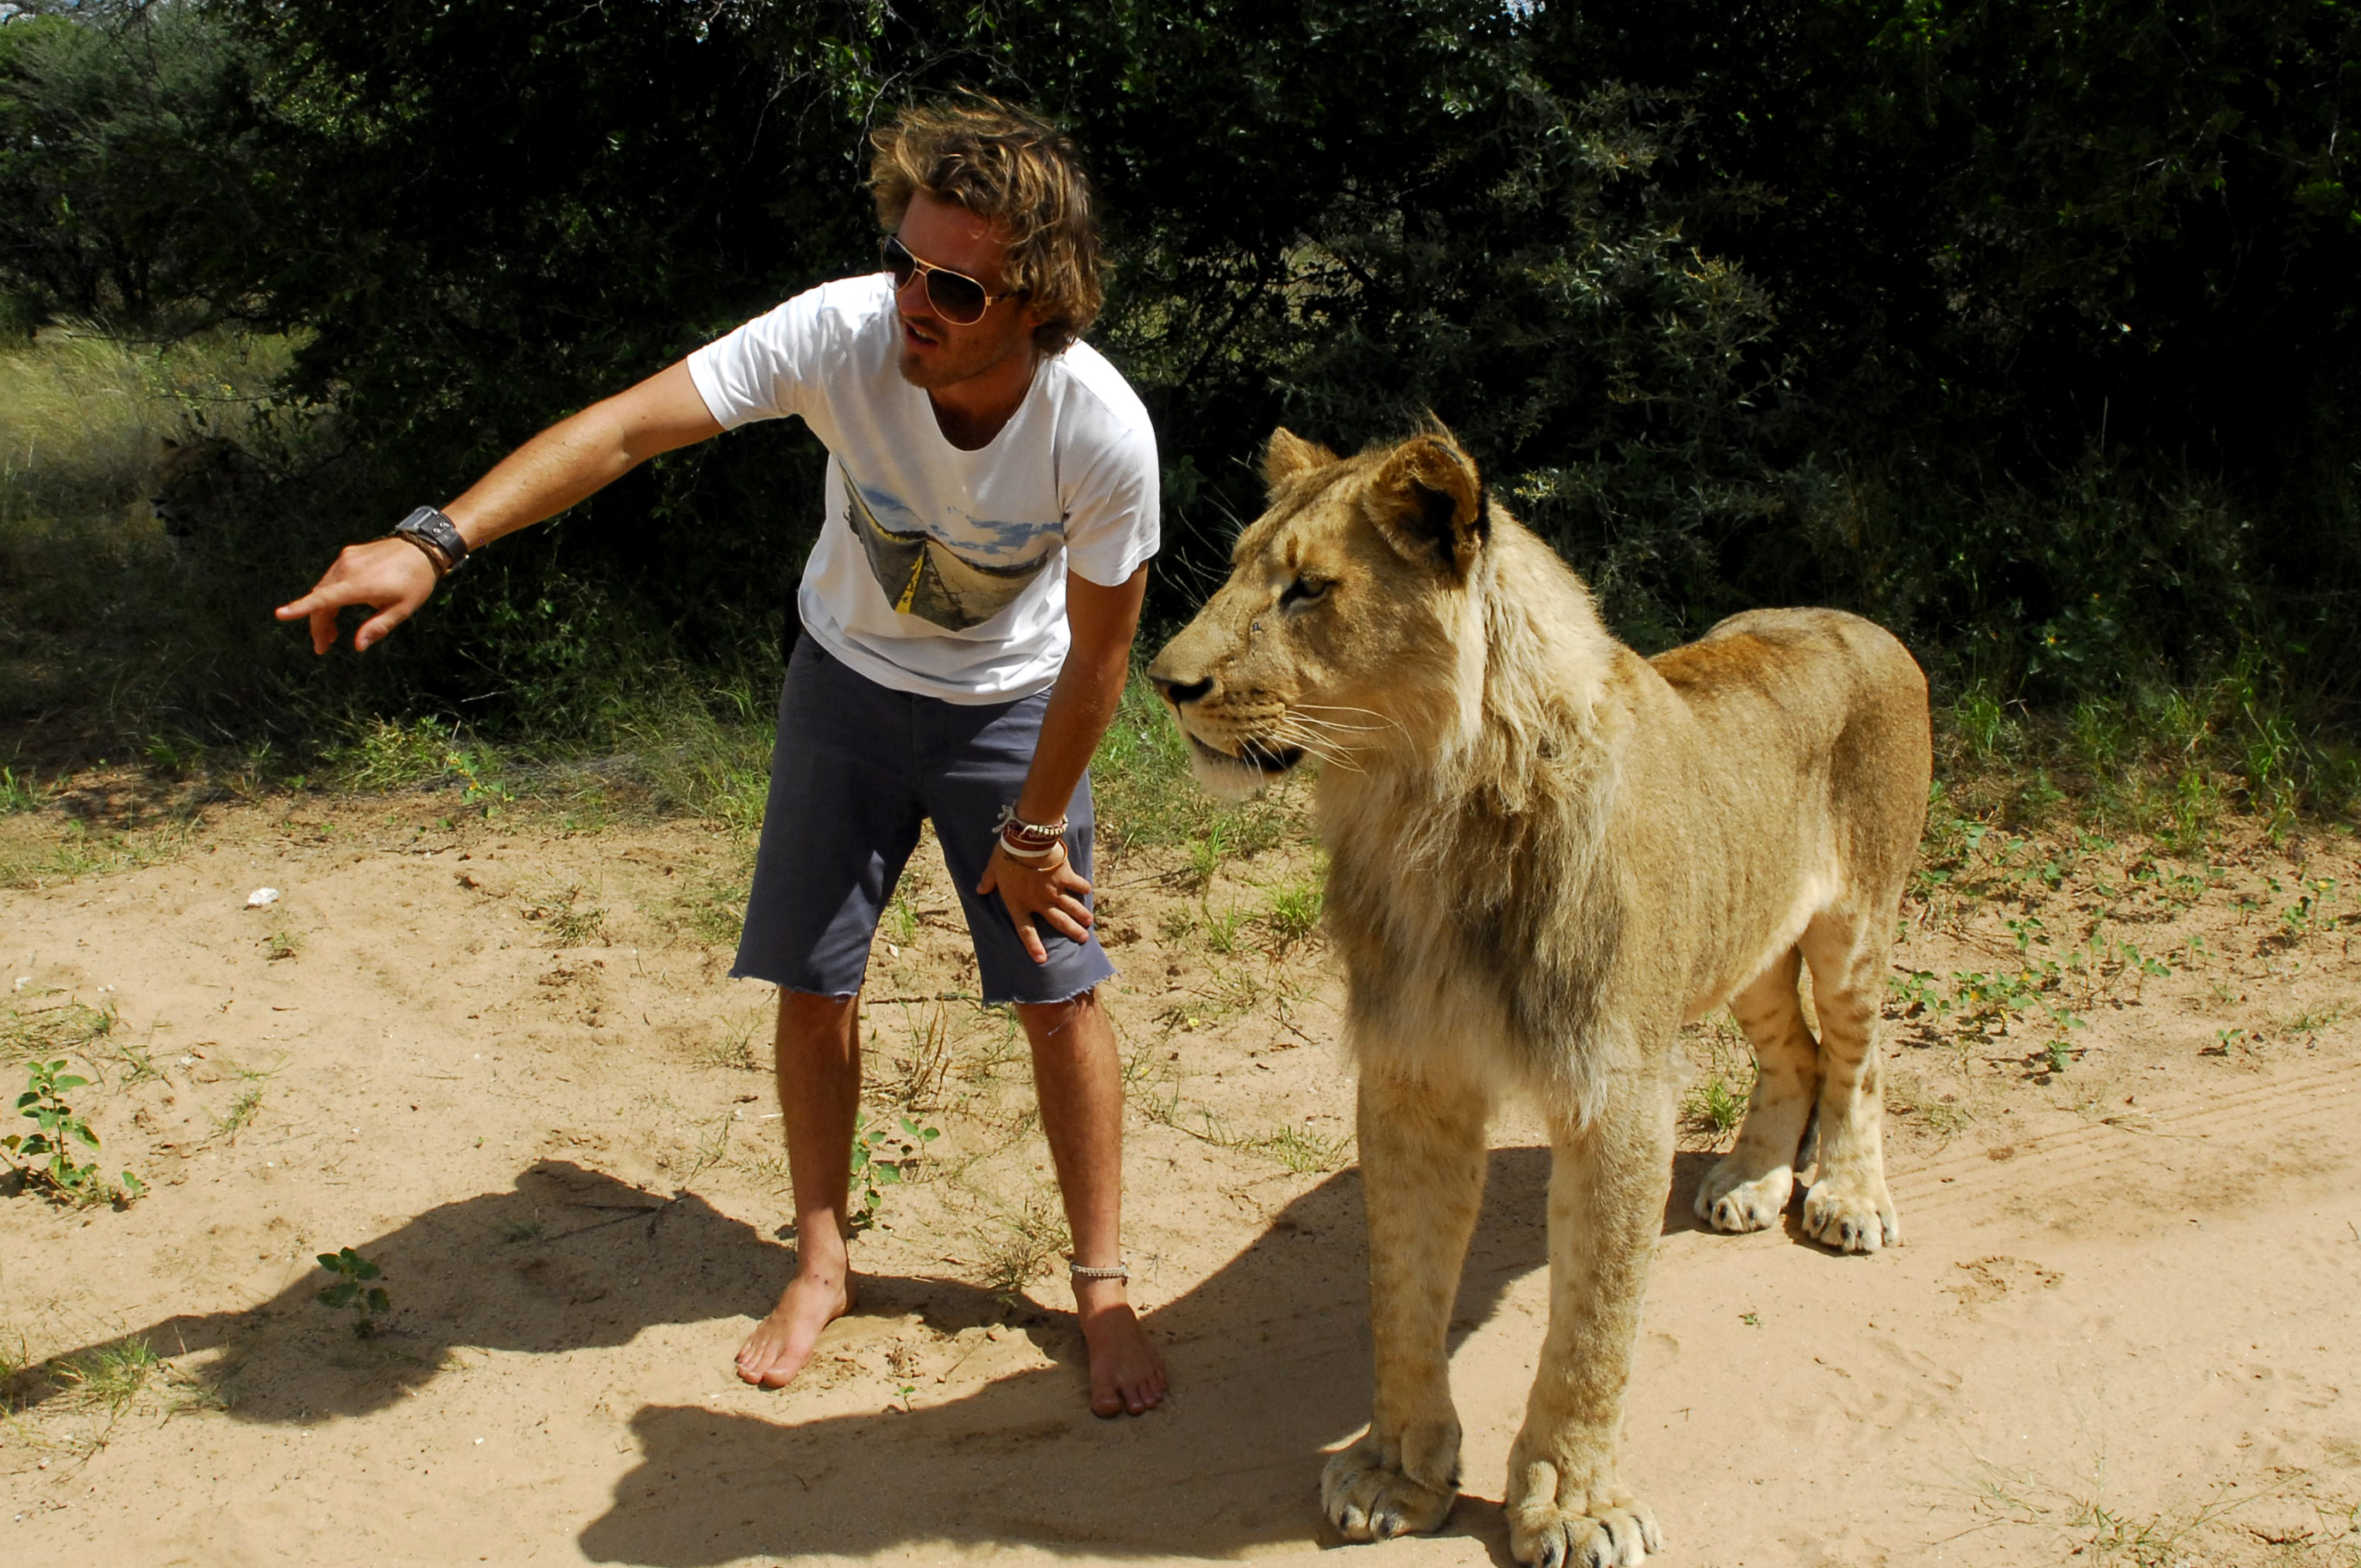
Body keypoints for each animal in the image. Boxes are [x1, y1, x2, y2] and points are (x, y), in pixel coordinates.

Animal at [1147, 424, 1936, 1568]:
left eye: (1307, 589)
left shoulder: (1618, 1087)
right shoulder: (1412, 1073)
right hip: (1741, 939)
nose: (1164, 681)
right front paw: (1397, 1471)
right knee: (1790, 1048)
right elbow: (1403, 1287)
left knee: (1858, 1055)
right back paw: (1746, 1181)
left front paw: (1573, 1503)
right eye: (1240, 567)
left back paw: (1846, 1196)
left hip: (1853, 925)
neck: (1422, 814)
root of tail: (1850, 613)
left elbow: (1594, 1322)